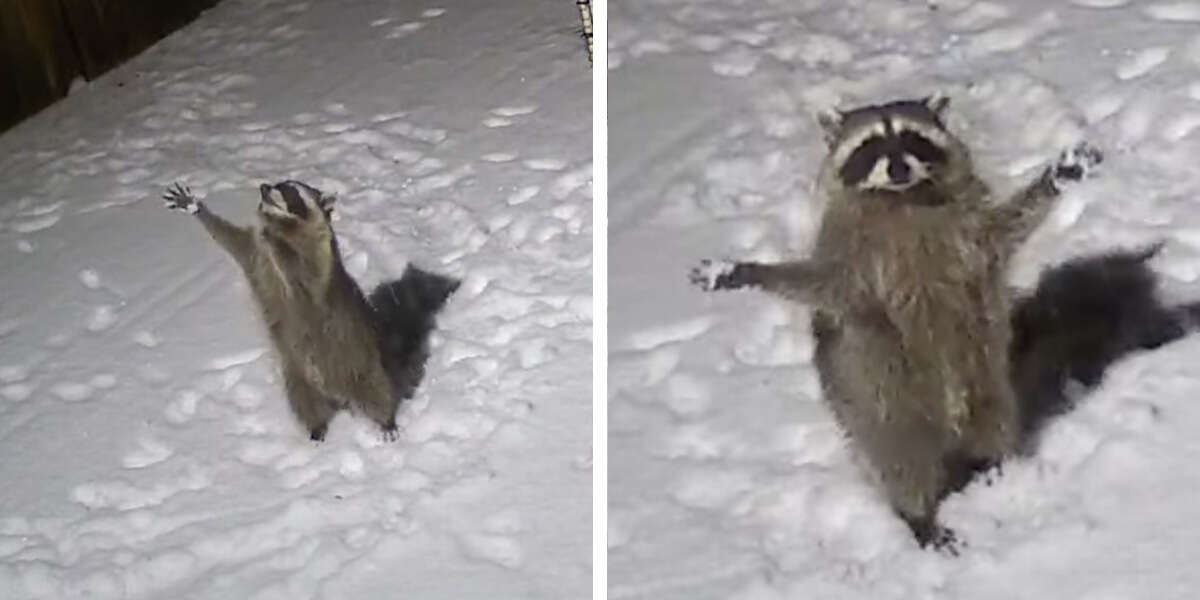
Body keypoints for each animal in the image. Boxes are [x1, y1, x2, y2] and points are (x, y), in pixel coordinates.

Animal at [162, 178, 456, 441]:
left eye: (288, 189)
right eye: (276, 183)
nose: (263, 188)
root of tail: (338, 397)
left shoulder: (316, 266)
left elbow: (299, 272)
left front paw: (276, 239)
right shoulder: (254, 254)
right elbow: (230, 240)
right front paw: (195, 206)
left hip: (361, 368)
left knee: (378, 394)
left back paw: (386, 421)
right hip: (297, 379)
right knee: (305, 406)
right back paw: (316, 430)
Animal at [696, 96, 1104, 549]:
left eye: (910, 138)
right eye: (871, 145)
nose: (898, 169)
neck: (901, 198)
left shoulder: (969, 225)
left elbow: (1006, 229)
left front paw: (1053, 180)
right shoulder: (850, 253)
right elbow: (822, 284)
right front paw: (750, 272)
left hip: (986, 376)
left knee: (993, 419)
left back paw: (994, 469)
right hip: (876, 390)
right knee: (900, 456)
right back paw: (919, 515)